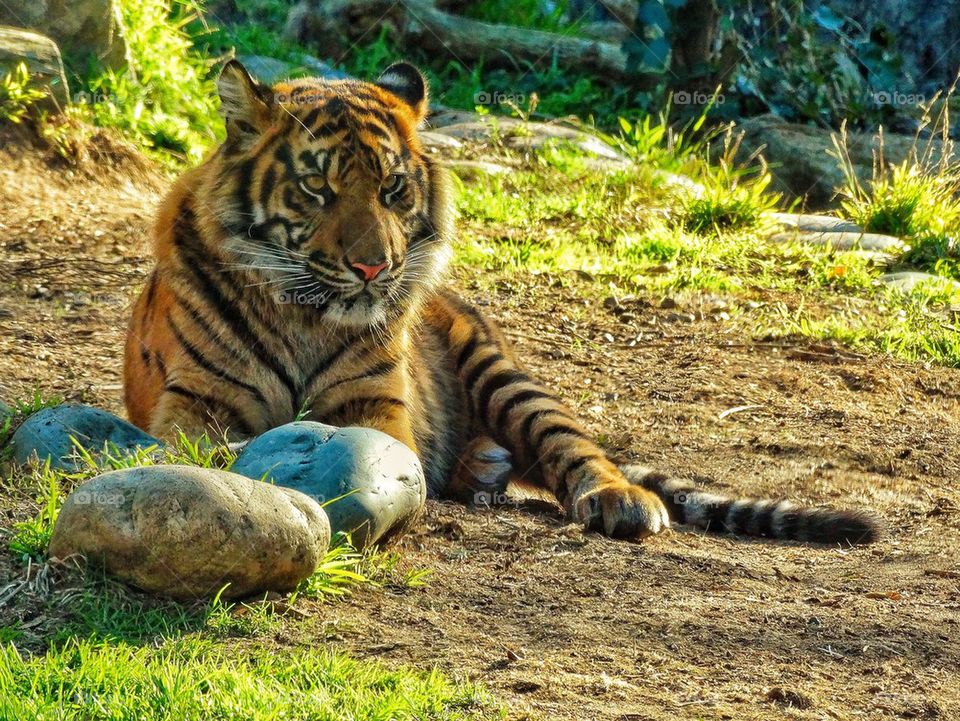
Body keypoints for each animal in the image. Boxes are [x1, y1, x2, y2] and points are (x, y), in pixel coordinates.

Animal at [124, 62, 880, 544]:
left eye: (393, 187)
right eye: (317, 187)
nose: (373, 267)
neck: (305, 313)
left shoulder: (378, 409)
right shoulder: (195, 400)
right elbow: (203, 449)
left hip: (504, 374)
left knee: (576, 449)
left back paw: (616, 499)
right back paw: (484, 468)